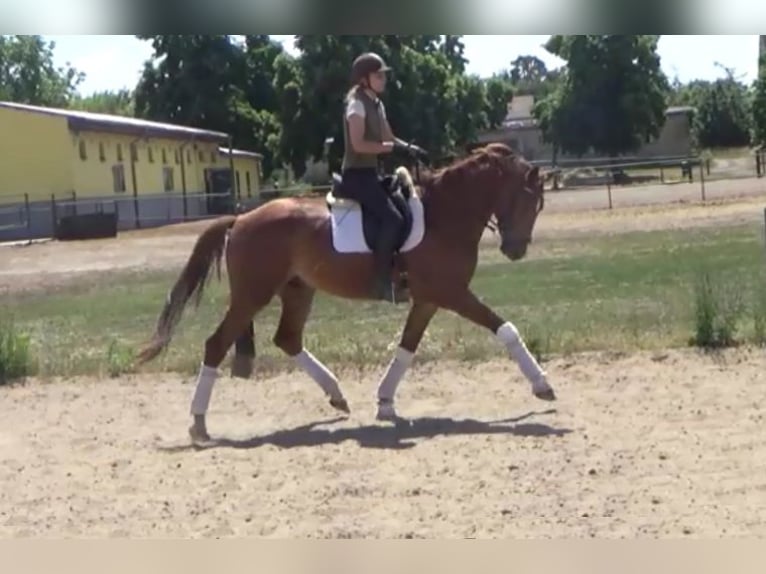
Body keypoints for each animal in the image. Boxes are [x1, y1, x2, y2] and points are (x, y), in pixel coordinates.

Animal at [138, 143, 556, 446]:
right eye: (528, 200)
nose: (516, 250)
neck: (445, 214)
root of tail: (241, 218)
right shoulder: (452, 293)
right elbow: (505, 329)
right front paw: (542, 385)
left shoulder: (428, 300)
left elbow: (407, 347)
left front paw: (385, 402)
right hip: (252, 295)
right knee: (216, 344)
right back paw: (198, 423)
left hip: (297, 290)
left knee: (288, 339)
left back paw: (336, 395)